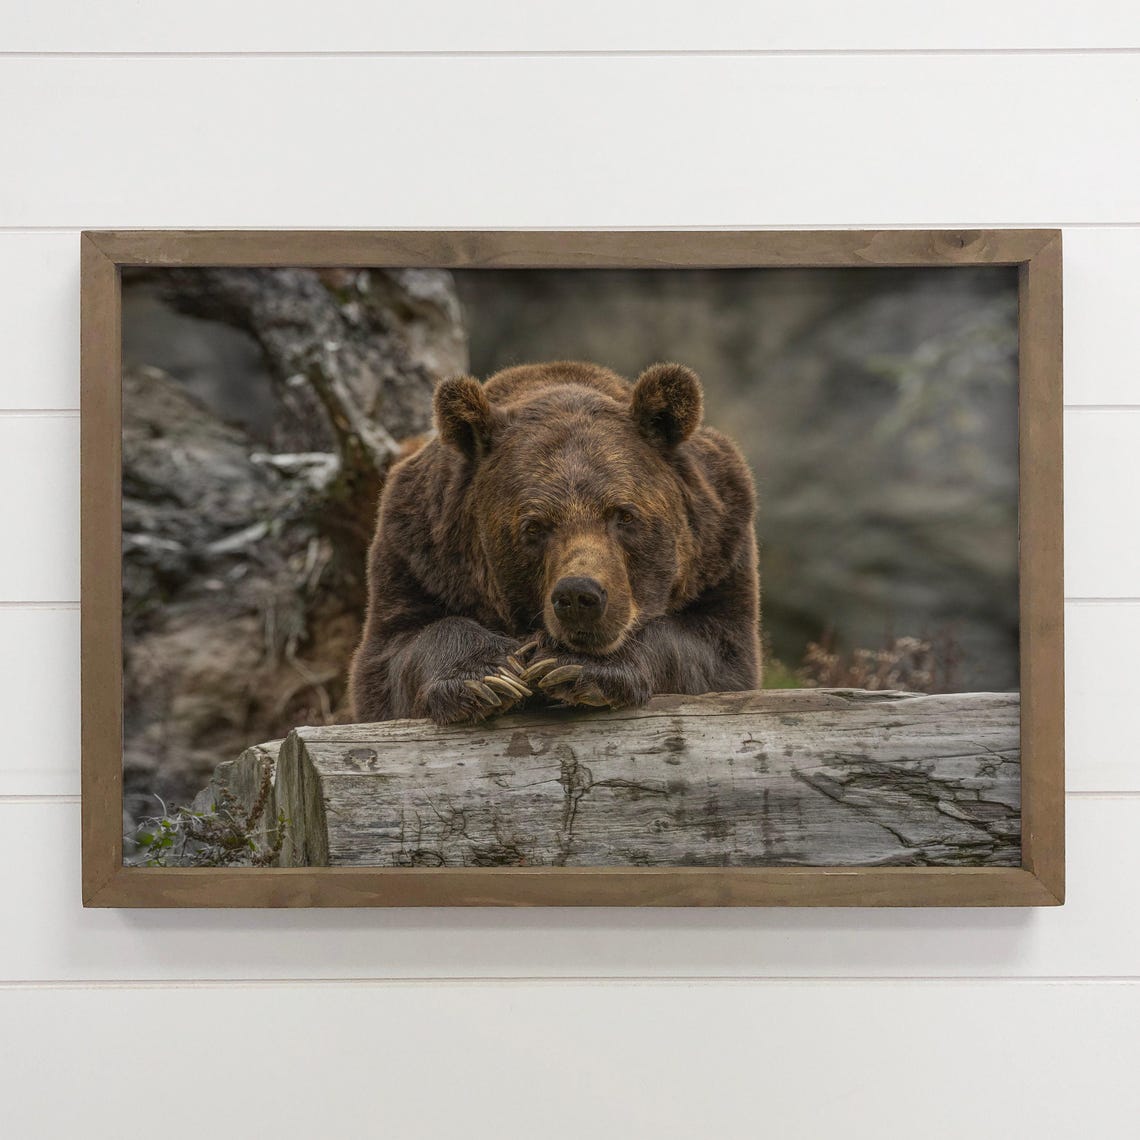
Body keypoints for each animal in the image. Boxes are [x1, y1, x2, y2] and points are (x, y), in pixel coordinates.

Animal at [349, 360, 760, 725]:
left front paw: (573, 666)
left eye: (624, 514)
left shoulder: (720, 549)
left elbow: (715, 652)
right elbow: (395, 654)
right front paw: (489, 676)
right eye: (534, 526)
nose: (579, 595)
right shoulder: (417, 555)